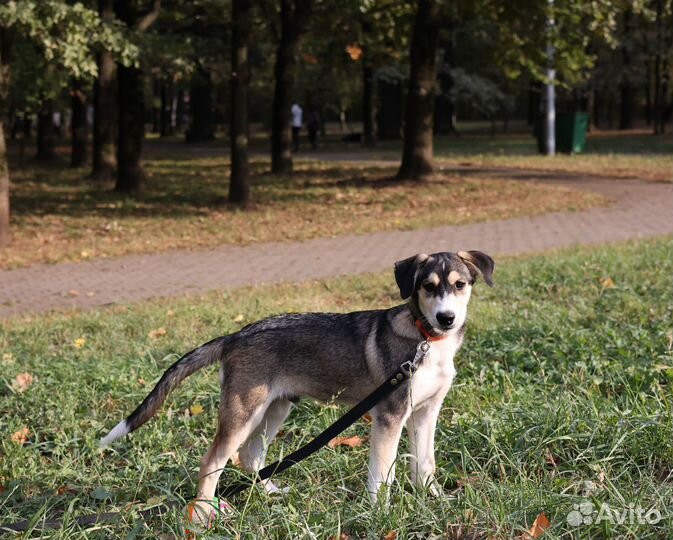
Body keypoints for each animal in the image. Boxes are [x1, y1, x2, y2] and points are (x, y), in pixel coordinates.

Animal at [100, 252, 490, 524]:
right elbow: (382, 473)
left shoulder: (426, 413)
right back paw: (204, 513)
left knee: (251, 456)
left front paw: (434, 499)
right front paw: (382, 512)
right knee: (213, 461)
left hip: (276, 407)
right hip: (243, 410)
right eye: (428, 286)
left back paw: (270, 493)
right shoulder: (390, 416)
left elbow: (425, 464)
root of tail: (234, 337)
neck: (427, 341)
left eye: (460, 285)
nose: (446, 318)